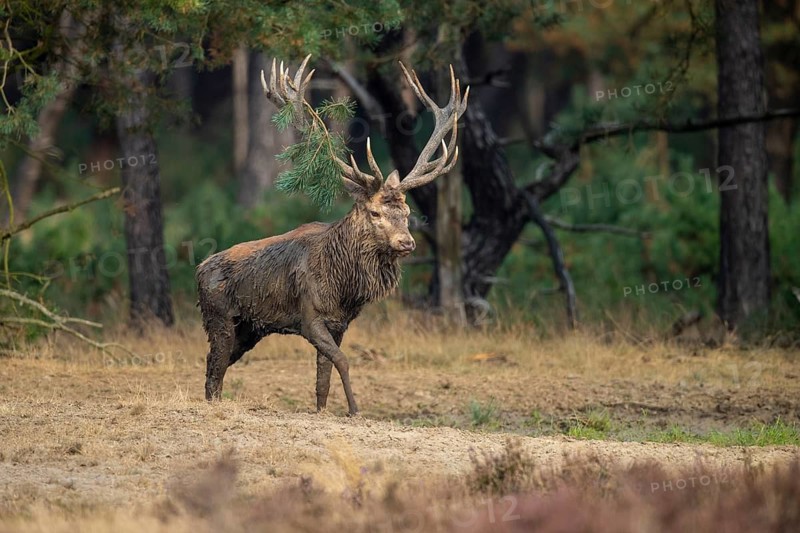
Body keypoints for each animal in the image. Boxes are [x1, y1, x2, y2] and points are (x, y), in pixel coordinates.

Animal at [196, 55, 468, 415]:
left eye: (407, 212)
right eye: (375, 212)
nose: (406, 242)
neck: (344, 286)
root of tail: (198, 270)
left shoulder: (340, 322)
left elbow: (323, 376)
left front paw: (323, 410)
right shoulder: (309, 316)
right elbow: (343, 361)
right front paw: (355, 409)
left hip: (250, 329)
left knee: (218, 365)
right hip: (219, 316)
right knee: (214, 365)